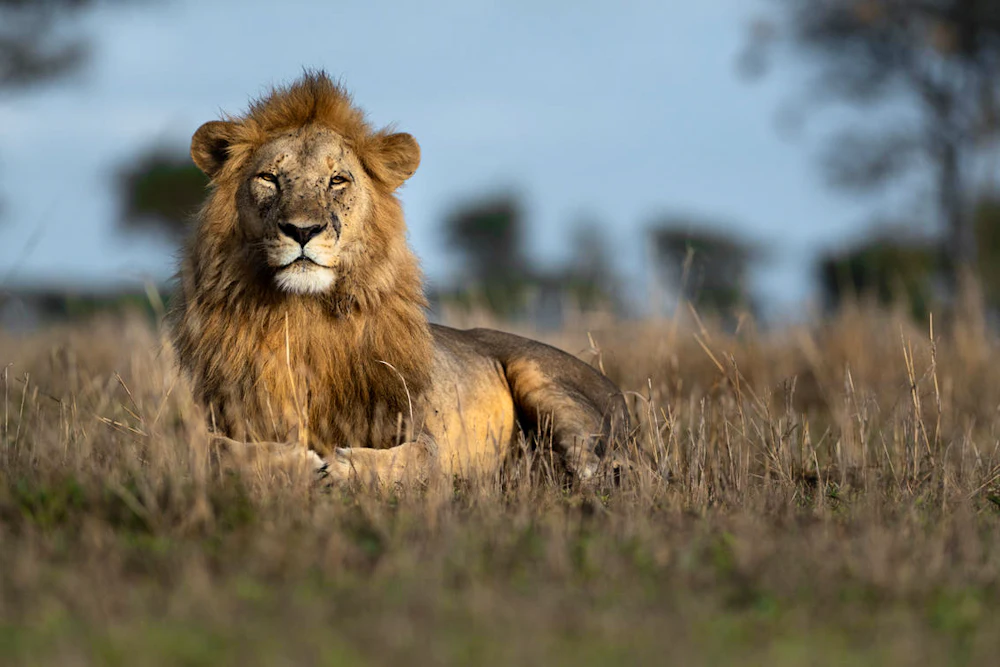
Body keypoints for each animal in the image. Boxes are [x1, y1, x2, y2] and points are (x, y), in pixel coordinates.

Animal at [171, 71, 628, 485]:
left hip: (538, 375)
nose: (302, 230)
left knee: (595, 465)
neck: (305, 318)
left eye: (337, 180)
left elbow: (417, 457)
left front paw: (343, 466)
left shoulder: (416, 428)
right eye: (268, 178)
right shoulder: (218, 418)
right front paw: (297, 461)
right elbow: (214, 450)